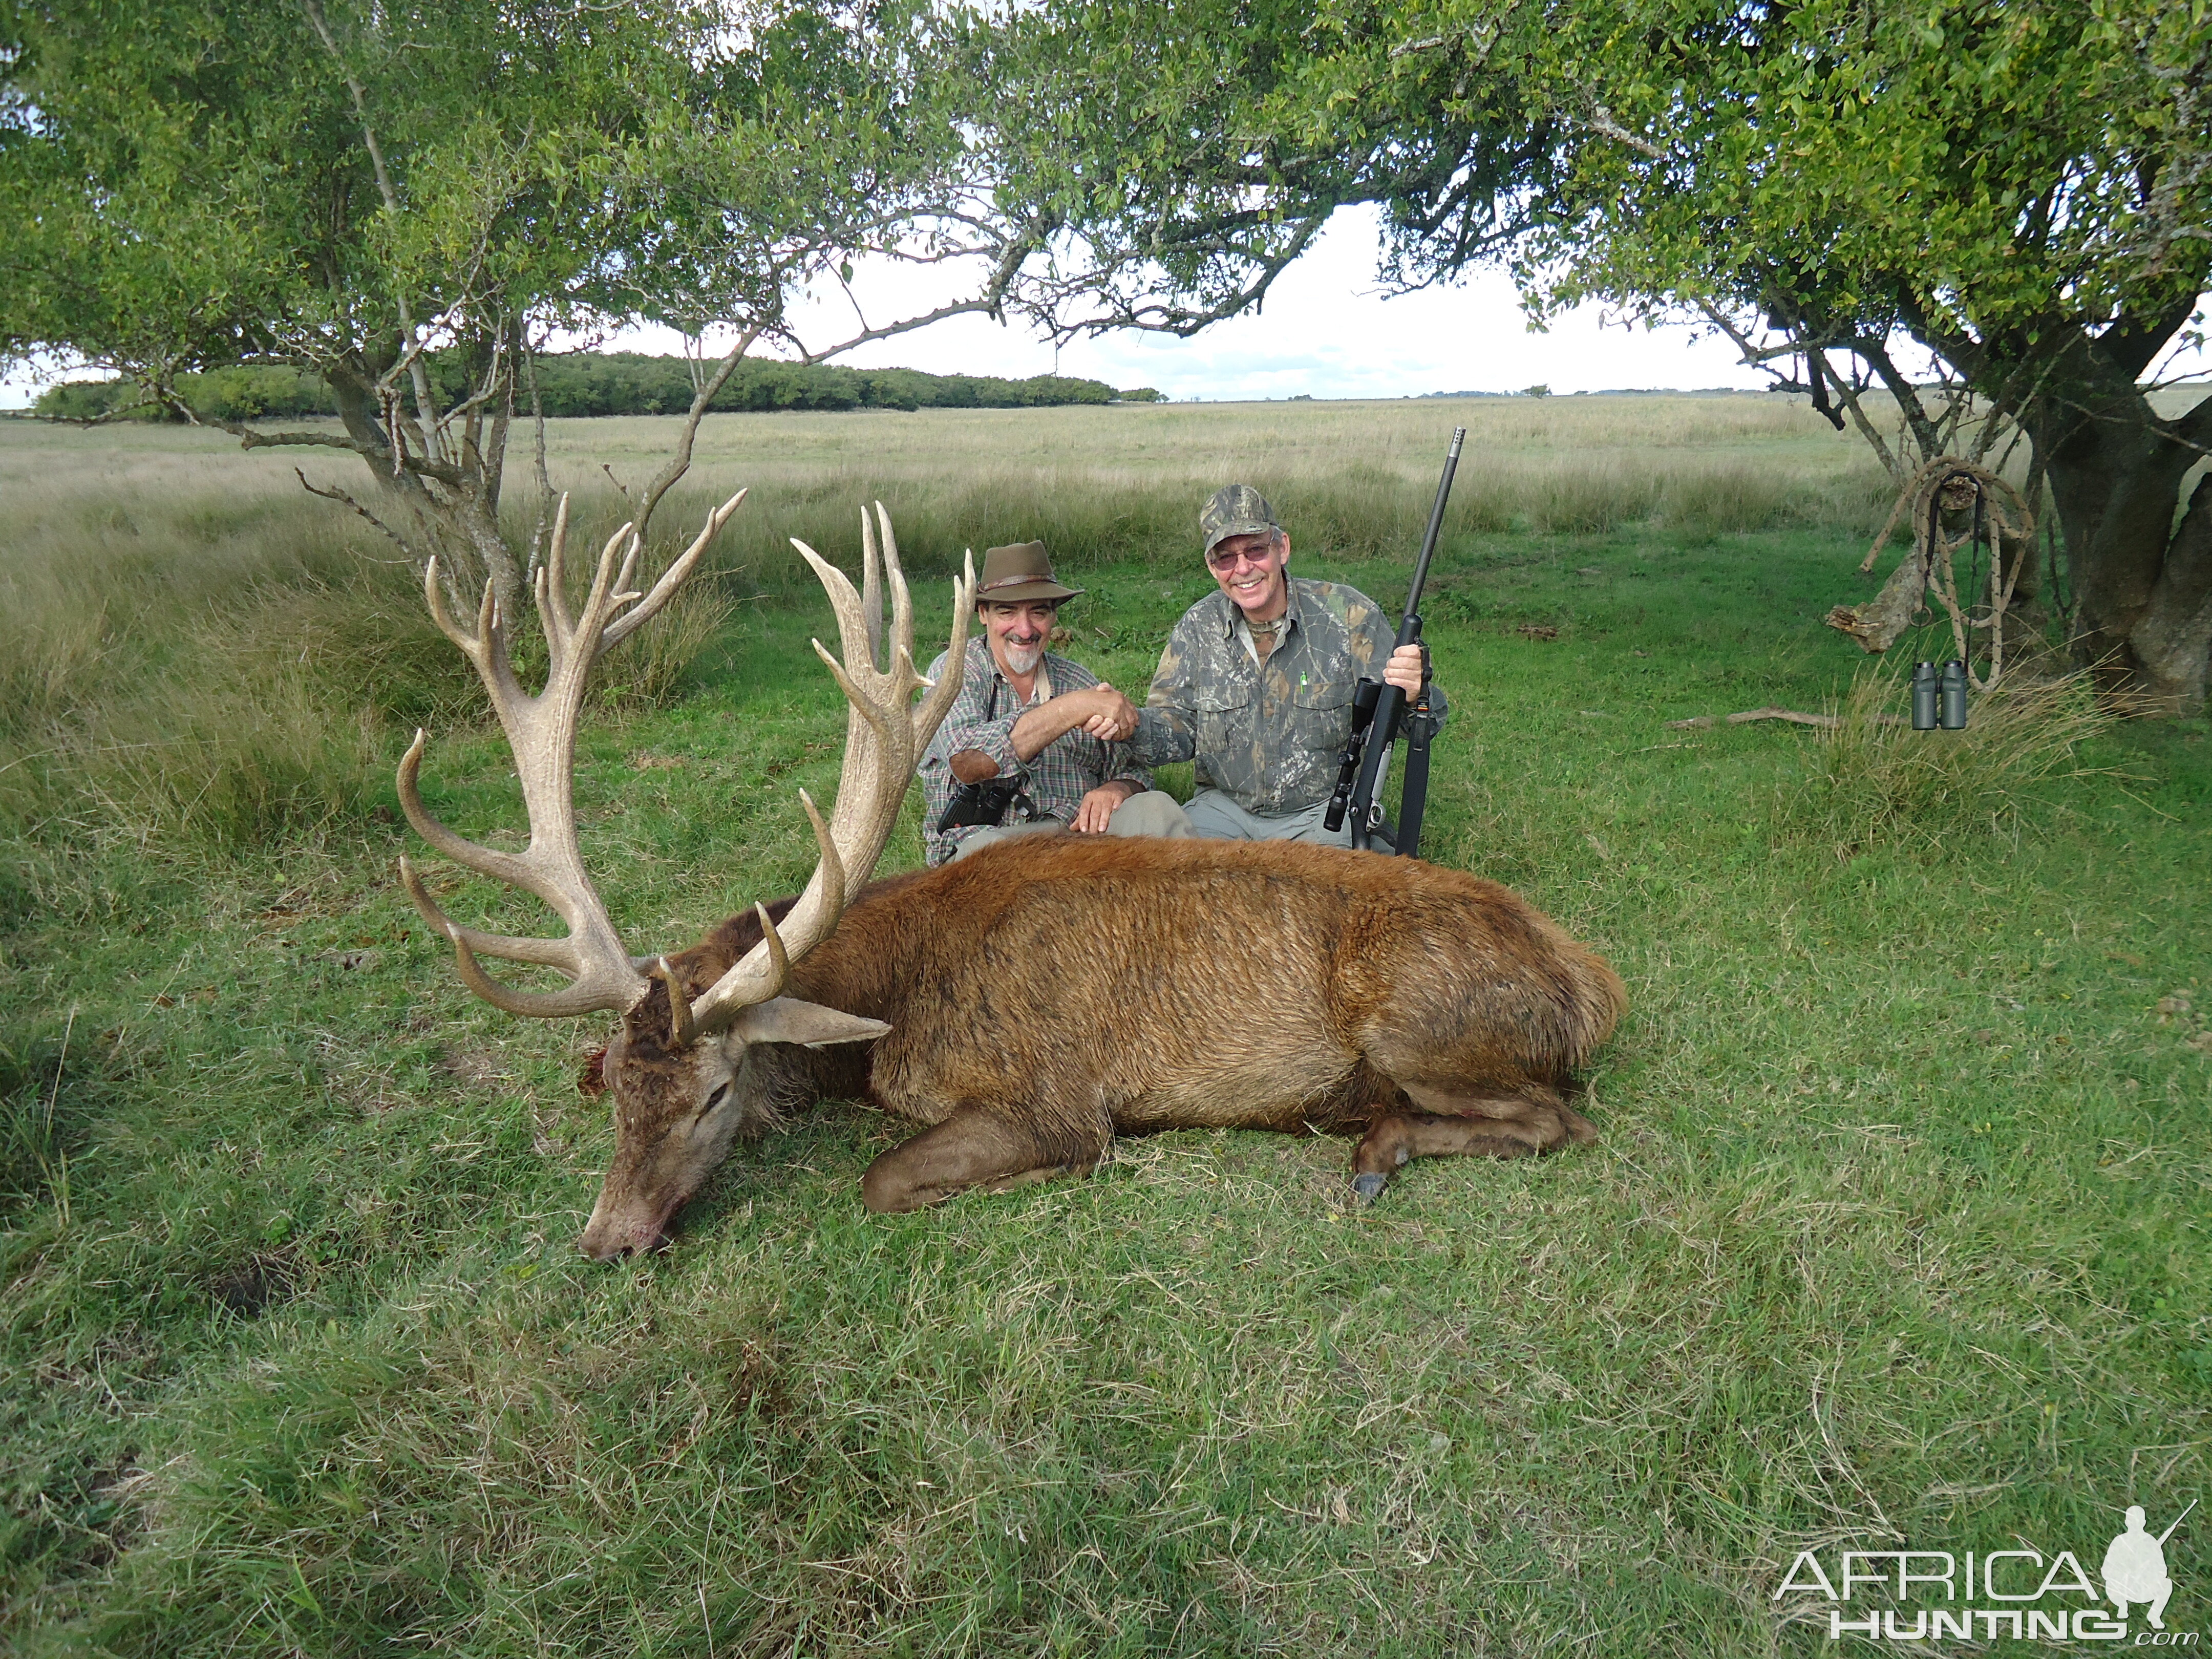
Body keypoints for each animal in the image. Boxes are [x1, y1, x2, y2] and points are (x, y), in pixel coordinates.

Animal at [393, 491, 1628, 1256]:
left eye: (712, 1095)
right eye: (614, 1093)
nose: (607, 1241)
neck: (892, 1008)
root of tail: (1591, 983)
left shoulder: (1051, 1095)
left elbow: (885, 1178)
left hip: (1417, 1026)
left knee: (1560, 1122)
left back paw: (1376, 1149)